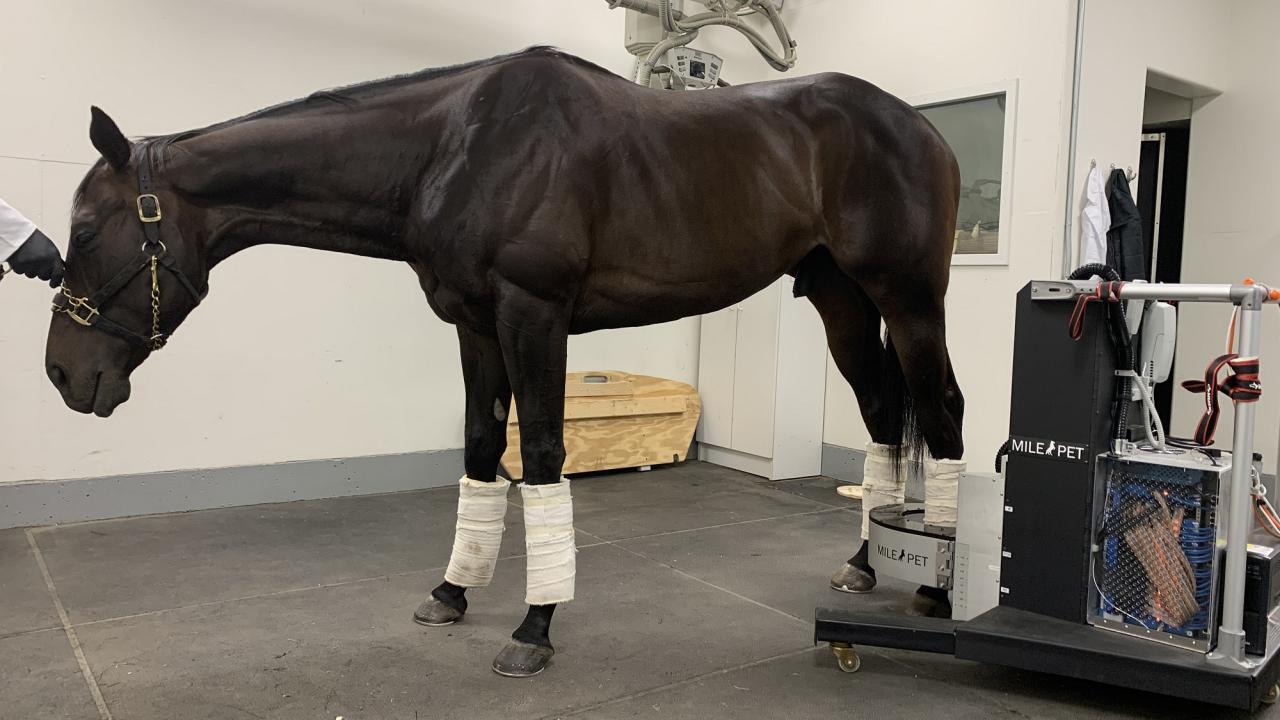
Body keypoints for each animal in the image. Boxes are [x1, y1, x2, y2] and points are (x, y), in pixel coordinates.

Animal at [45, 47, 962, 676]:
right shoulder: (475, 326)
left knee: (943, 411)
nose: (61, 374)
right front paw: (452, 593)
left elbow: (546, 454)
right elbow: (484, 449)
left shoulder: (534, 314)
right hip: (842, 299)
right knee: (884, 415)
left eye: (85, 232)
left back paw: (941, 583)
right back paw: (864, 565)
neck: (456, 146)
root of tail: (925, 130)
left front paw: (535, 625)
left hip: (910, 298)